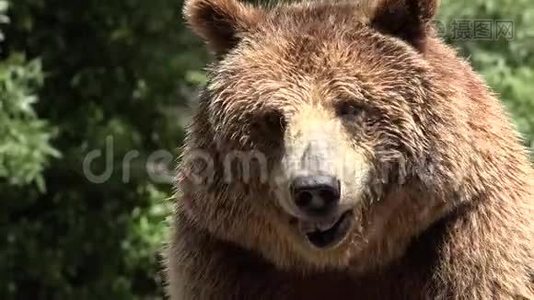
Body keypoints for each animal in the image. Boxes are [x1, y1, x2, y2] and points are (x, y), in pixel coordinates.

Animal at [165, 0, 532, 298]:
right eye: (272, 117)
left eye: (351, 106)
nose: (315, 189)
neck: (346, 261)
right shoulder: (226, 260)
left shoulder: (468, 238)